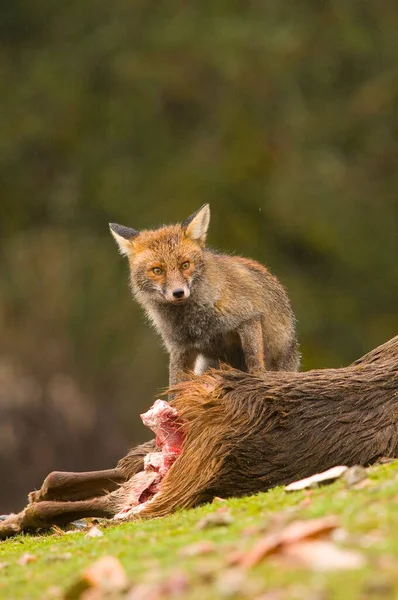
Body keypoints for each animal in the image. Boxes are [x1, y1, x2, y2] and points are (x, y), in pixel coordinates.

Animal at [109, 204, 298, 386]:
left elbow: (253, 358)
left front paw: (258, 377)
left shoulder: (248, 317)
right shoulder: (180, 347)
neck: (195, 322)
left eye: (185, 265)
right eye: (157, 270)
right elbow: (175, 385)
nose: (178, 293)